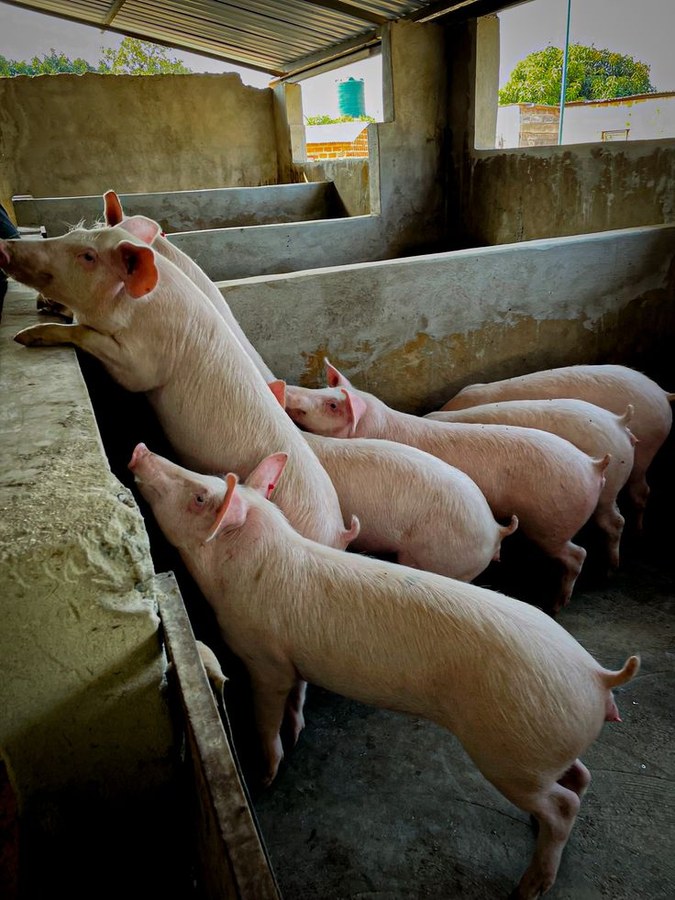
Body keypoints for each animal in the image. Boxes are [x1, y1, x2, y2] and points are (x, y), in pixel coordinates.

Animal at [128, 441, 639, 900]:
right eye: (208, 482)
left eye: (200, 496)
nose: (139, 450)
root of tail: (599, 677)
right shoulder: (294, 657)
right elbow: (299, 695)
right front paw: (297, 729)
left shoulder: (264, 658)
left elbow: (267, 713)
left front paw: (265, 775)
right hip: (540, 746)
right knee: (579, 777)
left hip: (511, 752)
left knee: (564, 804)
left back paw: (527, 888)